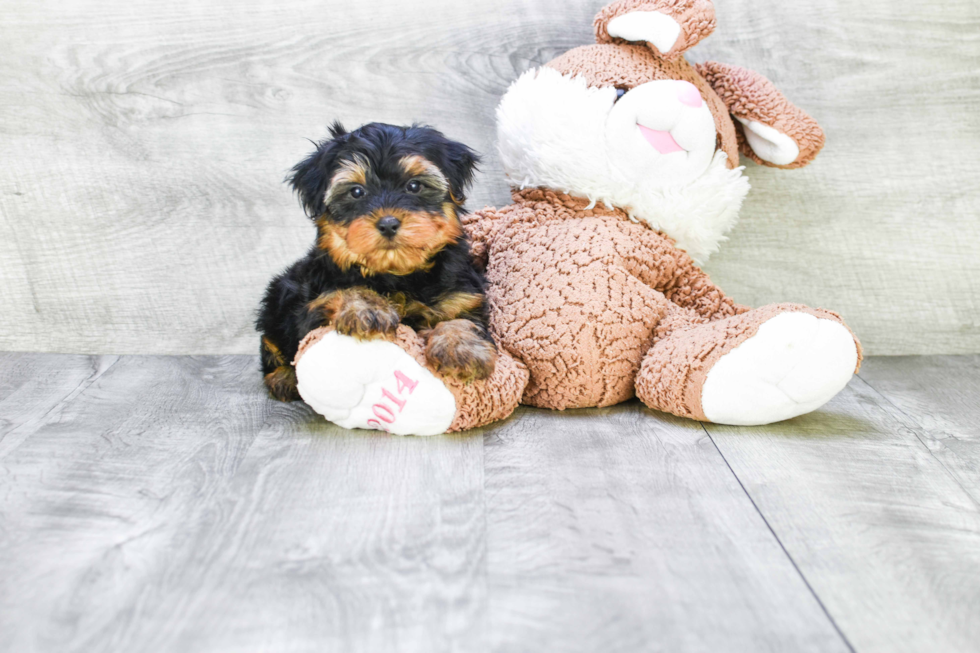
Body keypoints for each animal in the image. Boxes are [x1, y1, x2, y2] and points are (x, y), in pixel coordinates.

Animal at [256, 119, 494, 400]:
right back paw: (283, 378)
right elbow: (341, 291)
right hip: (278, 297)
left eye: (414, 186)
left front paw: (461, 348)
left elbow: (461, 318)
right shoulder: (311, 306)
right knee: (270, 345)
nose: (388, 223)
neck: (397, 273)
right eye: (357, 192)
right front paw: (367, 307)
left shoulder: (462, 293)